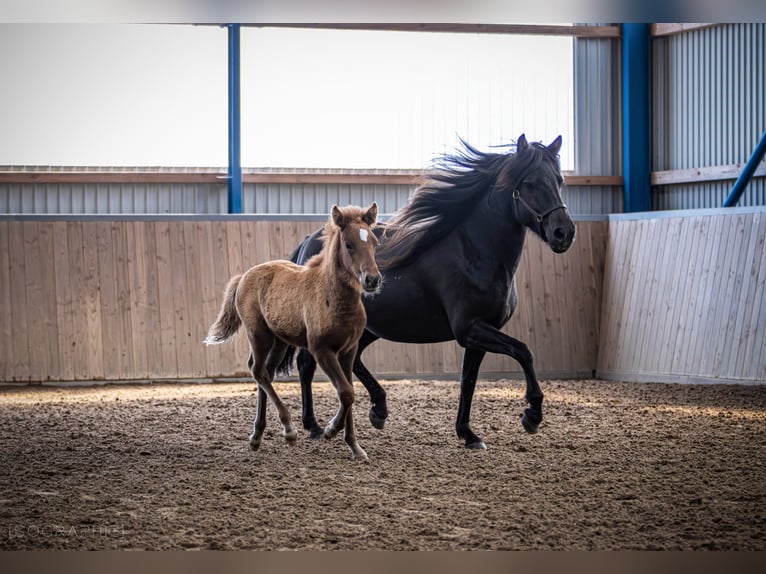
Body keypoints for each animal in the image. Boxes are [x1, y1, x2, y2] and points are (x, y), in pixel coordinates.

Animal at [204, 203, 382, 461]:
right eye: (349, 244)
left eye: (374, 242)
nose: (372, 280)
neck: (333, 297)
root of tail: (244, 275)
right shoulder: (321, 350)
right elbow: (346, 393)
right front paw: (330, 430)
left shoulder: (349, 351)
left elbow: (348, 393)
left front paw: (355, 448)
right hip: (258, 335)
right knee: (258, 370)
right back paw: (288, 430)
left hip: (279, 342)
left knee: (266, 373)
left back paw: (257, 436)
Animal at [282, 134, 576, 450]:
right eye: (530, 183)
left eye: (559, 181)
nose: (564, 233)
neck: (475, 253)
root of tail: (310, 241)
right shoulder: (470, 328)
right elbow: (524, 351)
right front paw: (532, 414)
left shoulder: (478, 333)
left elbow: (469, 382)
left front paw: (468, 434)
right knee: (306, 364)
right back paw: (314, 425)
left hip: (370, 328)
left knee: (353, 358)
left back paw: (378, 410)